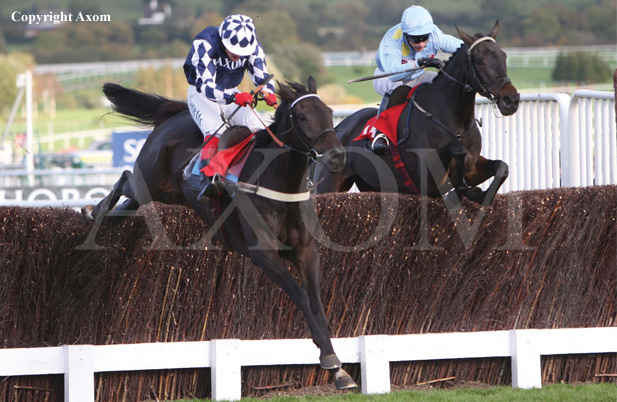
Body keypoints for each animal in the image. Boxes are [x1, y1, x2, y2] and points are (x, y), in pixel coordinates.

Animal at [84, 77, 358, 390]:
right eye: (301, 116)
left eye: (328, 112)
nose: (337, 157)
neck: (280, 183)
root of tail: (175, 114)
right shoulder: (263, 253)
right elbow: (300, 295)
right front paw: (330, 360)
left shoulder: (306, 251)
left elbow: (317, 304)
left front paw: (338, 369)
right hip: (147, 181)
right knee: (125, 179)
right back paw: (95, 208)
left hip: (166, 194)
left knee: (128, 204)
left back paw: (104, 217)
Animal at [312, 20, 520, 206]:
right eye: (479, 60)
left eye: (504, 56)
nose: (511, 100)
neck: (455, 121)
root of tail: (338, 129)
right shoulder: (428, 180)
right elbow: (457, 154)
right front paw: (467, 190)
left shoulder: (473, 167)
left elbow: (502, 167)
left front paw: (480, 194)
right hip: (328, 184)